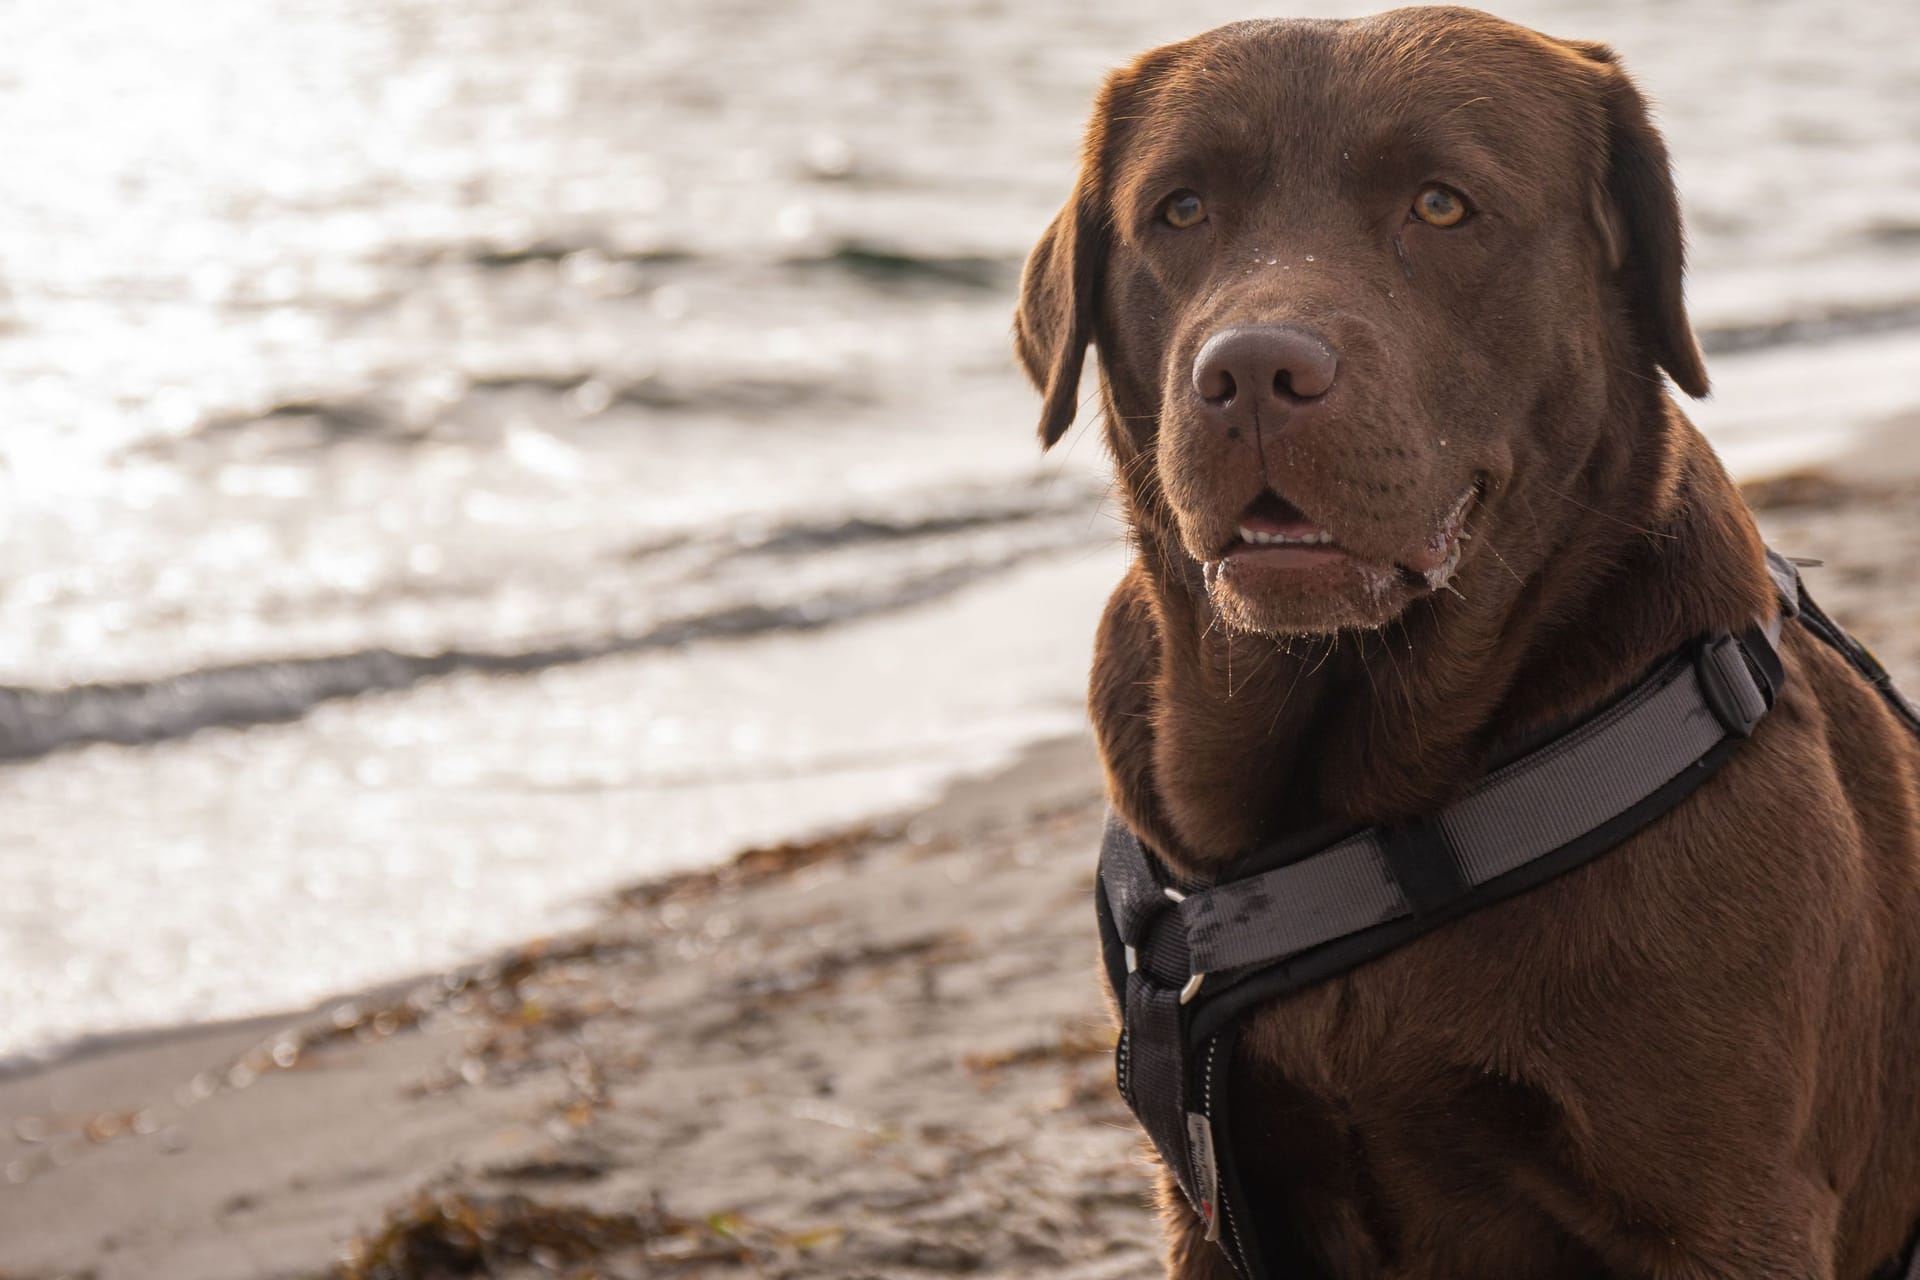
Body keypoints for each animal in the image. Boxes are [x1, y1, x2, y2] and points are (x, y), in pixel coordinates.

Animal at [1029, 10, 1920, 1280]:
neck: (1363, 820)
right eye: (1181, 209)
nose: (1251, 371)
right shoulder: (1205, 1199)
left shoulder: (1732, 1209)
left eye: (1442, 205)